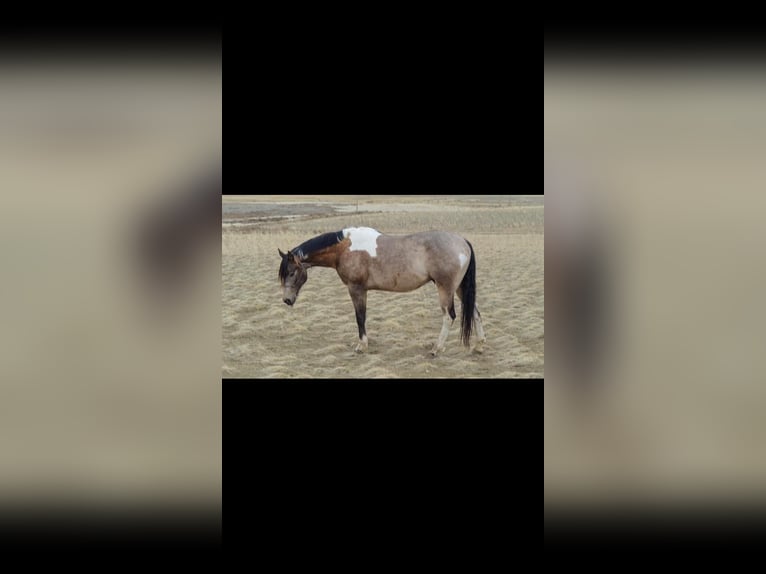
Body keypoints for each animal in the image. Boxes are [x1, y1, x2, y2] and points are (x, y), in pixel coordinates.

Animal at [278, 227, 486, 355]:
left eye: (291, 272)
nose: (287, 300)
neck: (345, 248)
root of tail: (463, 242)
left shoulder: (356, 289)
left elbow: (360, 317)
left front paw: (361, 346)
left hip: (445, 289)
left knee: (449, 316)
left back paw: (437, 348)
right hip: (460, 288)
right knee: (475, 312)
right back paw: (479, 346)